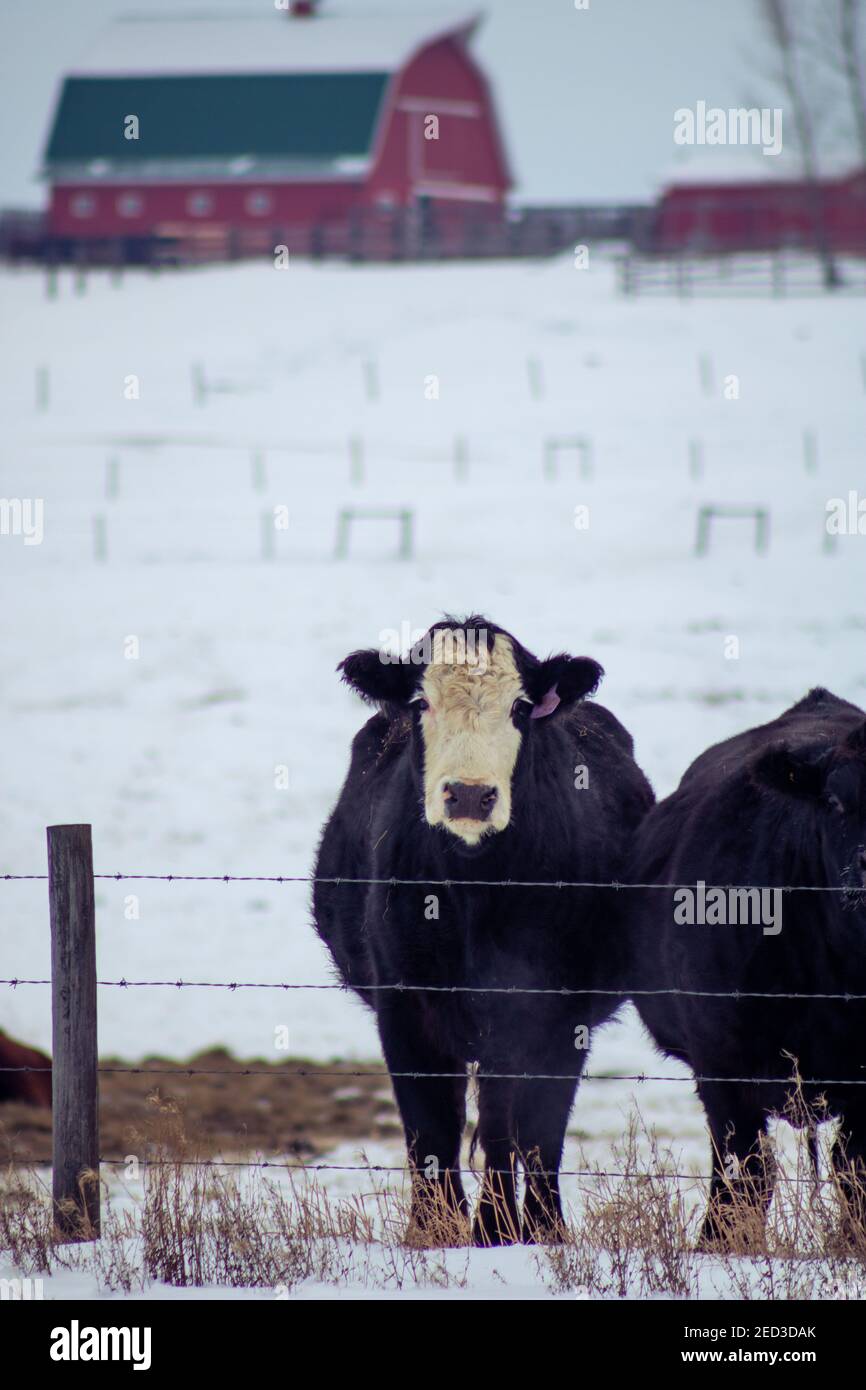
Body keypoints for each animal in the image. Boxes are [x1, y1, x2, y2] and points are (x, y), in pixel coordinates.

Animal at [313, 616, 653, 1245]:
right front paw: (432, 1232)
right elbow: (429, 1127)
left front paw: (531, 1231)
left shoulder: (555, 1010)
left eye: (520, 707)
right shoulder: (405, 1006)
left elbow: (532, 1129)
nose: (470, 793)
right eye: (420, 701)